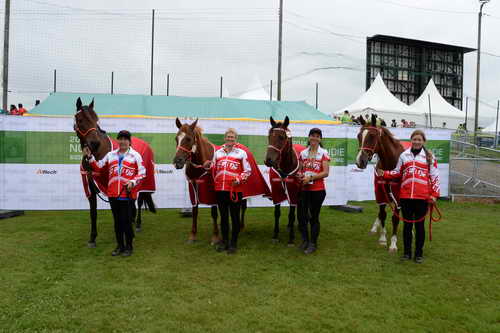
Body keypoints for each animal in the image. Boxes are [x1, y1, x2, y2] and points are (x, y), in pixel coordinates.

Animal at [74, 96, 155, 246]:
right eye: (80, 119)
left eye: (96, 119)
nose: (94, 143)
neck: (98, 153)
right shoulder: (90, 185)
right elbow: (93, 212)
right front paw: (92, 238)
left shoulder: (110, 186)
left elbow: (115, 211)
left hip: (143, 181)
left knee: (140, 200)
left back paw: (138, 224)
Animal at [264, 115, 302, 245]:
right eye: (269, 136)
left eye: (281, 137)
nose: (268, 160)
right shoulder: (277, 189)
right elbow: (277, 213)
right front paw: (275, 235)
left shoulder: (293, 190)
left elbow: (291, 213)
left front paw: (291, 238)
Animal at [354, 114, 404, 252]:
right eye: (359, 136)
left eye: (372, 136)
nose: (360, 161)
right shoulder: (380, 191)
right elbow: (382, 214)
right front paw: (382, 238)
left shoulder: (397, 195)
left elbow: (395, 218)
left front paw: (393, 244)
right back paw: (375, 228)